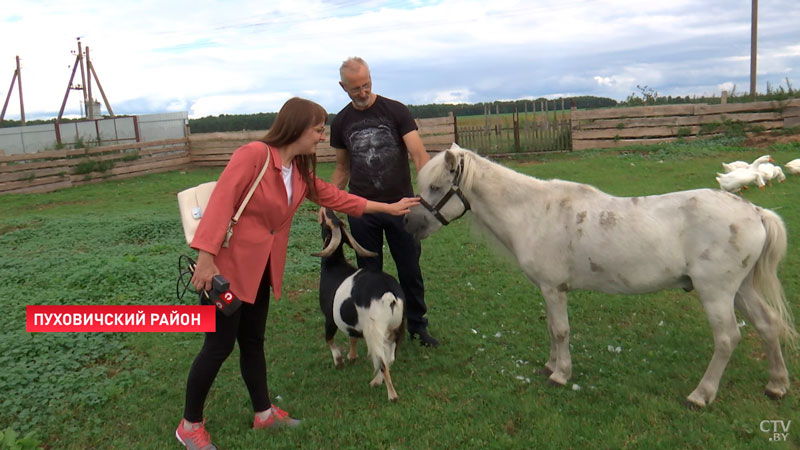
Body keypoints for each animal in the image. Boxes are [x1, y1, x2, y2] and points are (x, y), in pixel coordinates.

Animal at [314, 207, 406, 400]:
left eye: (326, 223)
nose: (327, 209)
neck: (334, 266)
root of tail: (389, 295)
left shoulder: (329, 317)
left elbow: (329, 338)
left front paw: (339, 361)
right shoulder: (353, 320)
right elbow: (352, 336)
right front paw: (352, 356)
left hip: (375, 330)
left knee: (382, 361)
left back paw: (390, 394)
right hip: (396, 327)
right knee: (390, 357)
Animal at [410, 143, 796, 408]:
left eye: (435, 187)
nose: (410, 224)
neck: (535, 212)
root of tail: (755, 212)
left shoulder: (554, 289)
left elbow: (561, 331)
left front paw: (561, 375)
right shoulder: (548, 290)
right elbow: (552, 329)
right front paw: (550, 366)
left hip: (716, 293)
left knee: (728, 339)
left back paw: (701, 395)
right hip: (741, 289)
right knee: (767, 325)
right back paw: (776, 385)